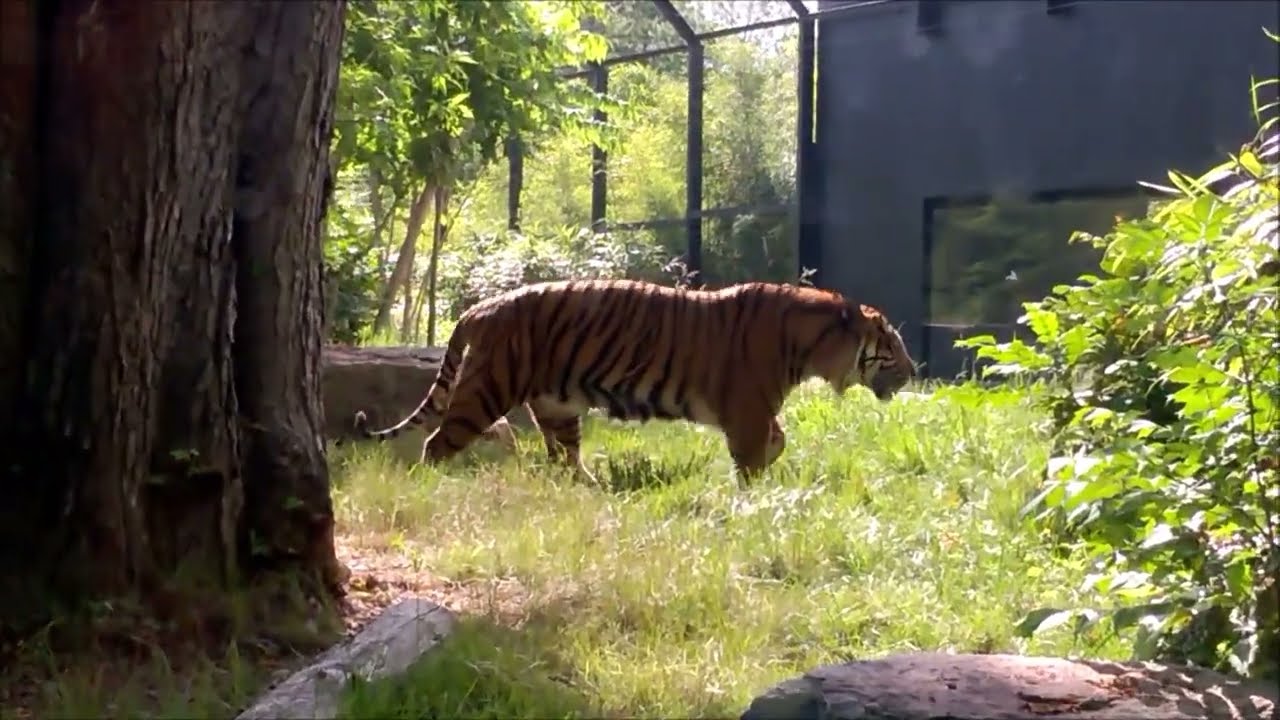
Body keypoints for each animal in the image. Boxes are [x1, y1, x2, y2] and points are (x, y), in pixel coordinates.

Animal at [352, 278, 917, 483]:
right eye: (893, 346)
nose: (916, 373)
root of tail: (480, 308)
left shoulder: (756, 413)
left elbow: (779, 441)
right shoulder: (749, 411)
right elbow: (756, 457)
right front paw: (756, 497)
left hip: (557, 405)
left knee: (561, 456)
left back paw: (588, 486)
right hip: (487, 389)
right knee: (436, 442)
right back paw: (431, 484)